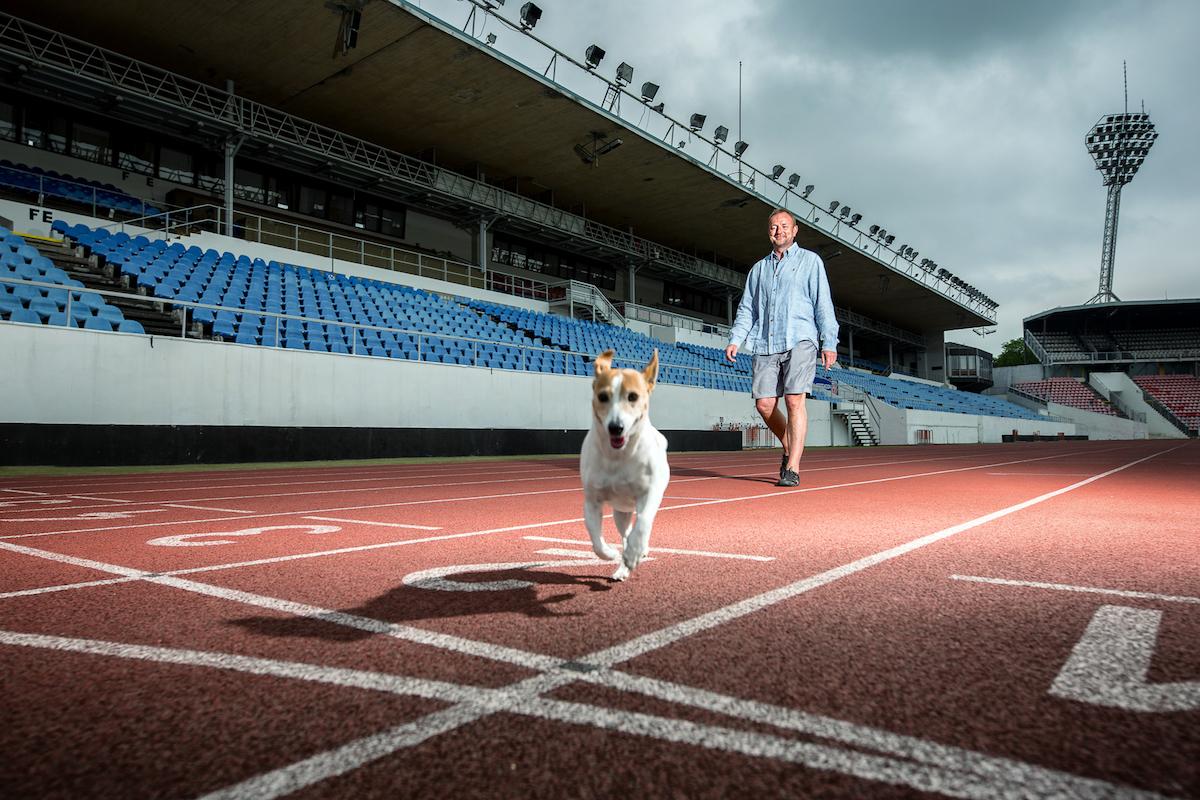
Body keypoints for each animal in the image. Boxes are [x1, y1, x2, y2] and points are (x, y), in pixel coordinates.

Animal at [578, 350, 672, 582]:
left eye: (633, 396)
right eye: (603, 397)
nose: (616, 427)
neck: (617, 456)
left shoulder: (650, 493)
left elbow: (644, 522)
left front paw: (634, 552)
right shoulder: (592, 500)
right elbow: (595, 539)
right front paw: (611, 553)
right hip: (620, 512)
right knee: (625, 533)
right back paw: (622, 565)